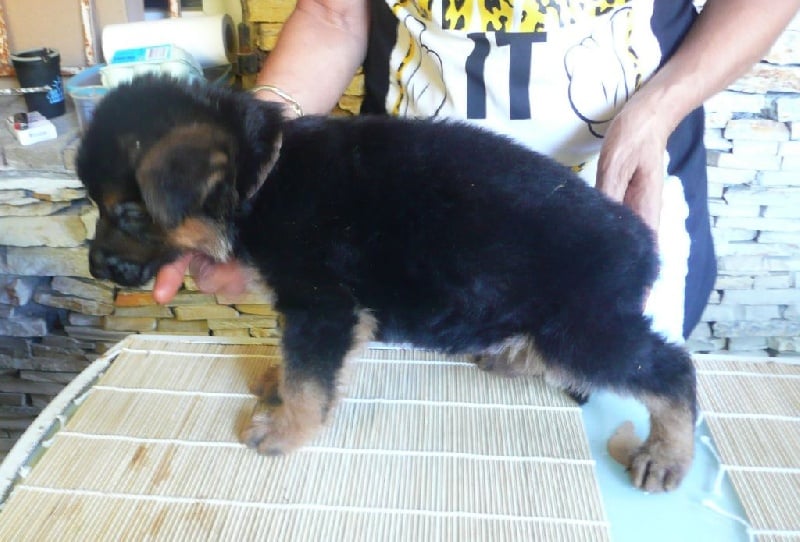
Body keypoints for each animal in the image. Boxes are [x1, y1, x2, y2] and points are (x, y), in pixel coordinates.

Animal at [78, 74, 696, 496]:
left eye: (128, 213)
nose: (95, 268)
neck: (261, 178)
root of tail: (642, 244)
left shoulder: (322, 304)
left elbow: (310, 379)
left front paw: (287, 430)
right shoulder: (328, 311)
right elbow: (305, 366)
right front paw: (280, 385)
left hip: (583, 328)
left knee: (671, 370)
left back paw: (667, 451)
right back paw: (516, 357)